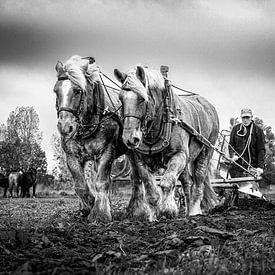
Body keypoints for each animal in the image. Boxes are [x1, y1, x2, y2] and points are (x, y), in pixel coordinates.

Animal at [54, 55, 129, 223]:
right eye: (55, 91)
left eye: (78, 91)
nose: (65, 127)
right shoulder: (72, 156)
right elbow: (81, 185)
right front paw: (87, 207)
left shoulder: (106, 152)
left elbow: (101, 182)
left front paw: (100, 214)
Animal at [114, 66, 220, 221]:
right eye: (121, 98)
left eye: (142, 99)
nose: (129, 138)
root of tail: (208, 105)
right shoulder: (141, 161)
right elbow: (150, 188)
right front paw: (153, 217)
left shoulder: (179, 155)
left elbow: (167, 182)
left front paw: (168, 209)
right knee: (187, 182)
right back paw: (188, 210)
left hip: (206, 151)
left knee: (199, 180)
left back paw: (194, 211)